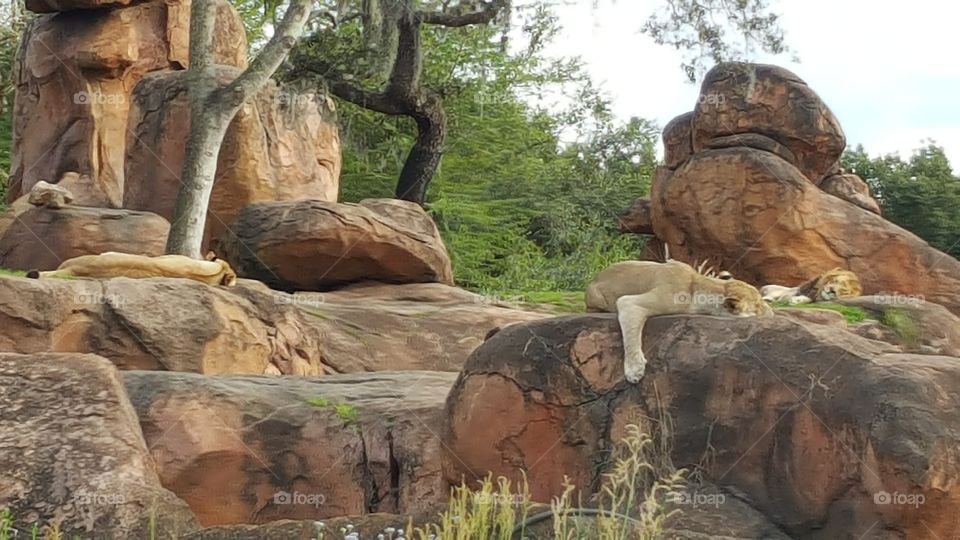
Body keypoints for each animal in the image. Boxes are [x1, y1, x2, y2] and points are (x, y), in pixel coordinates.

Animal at [580, 260, 768, 382]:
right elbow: (632, 332)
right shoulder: (635, 301)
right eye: (758, 304)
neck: (698, 285)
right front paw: (634, 370)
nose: (771, 311)